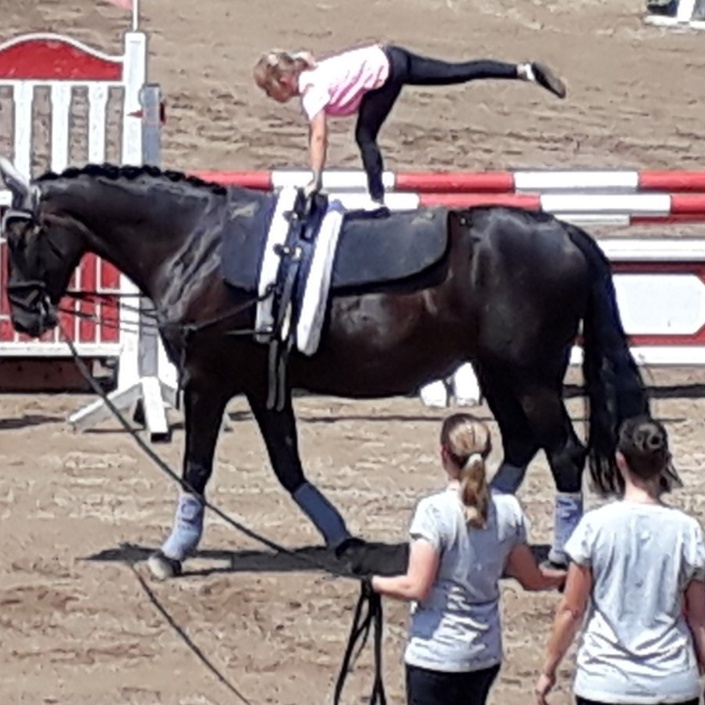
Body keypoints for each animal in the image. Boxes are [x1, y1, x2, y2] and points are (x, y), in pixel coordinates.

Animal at [0, 157, 666, 580]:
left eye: (21, 237)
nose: (25, 313)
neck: (196, 244)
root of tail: (564, 230)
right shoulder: (262, 384)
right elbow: (288, 465)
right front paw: (344, 542)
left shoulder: (208, 382)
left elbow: (196, 469)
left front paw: (172, 553)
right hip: (498, 373)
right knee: (523, 446)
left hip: (530, 379)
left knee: (563, 453)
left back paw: (556, 553)